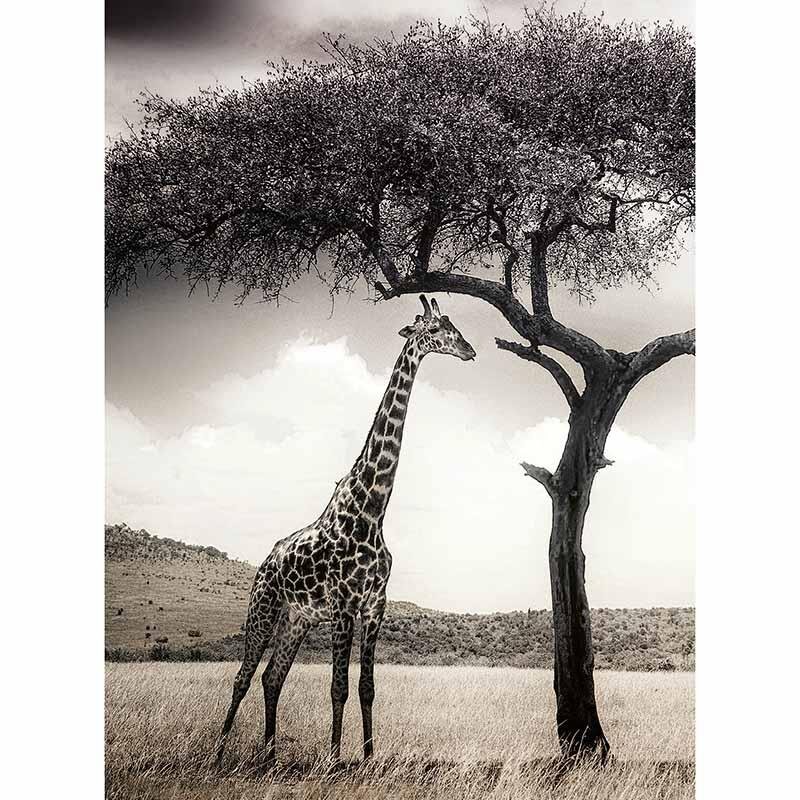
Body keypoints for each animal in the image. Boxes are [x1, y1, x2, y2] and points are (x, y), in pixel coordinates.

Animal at [216, 294, 476, 767]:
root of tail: (265, 562)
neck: (372, 511)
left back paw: (270, 754)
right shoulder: (343, 606)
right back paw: (220, 749)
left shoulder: (374, 605)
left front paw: (369, 757)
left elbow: (366, 688)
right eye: (435, 329)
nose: (469, 350)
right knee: (243, 677)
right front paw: (335, 759)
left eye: (455, 325)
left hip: (296, 619)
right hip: (262, 609)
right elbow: (337, 687)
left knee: (271, 678)